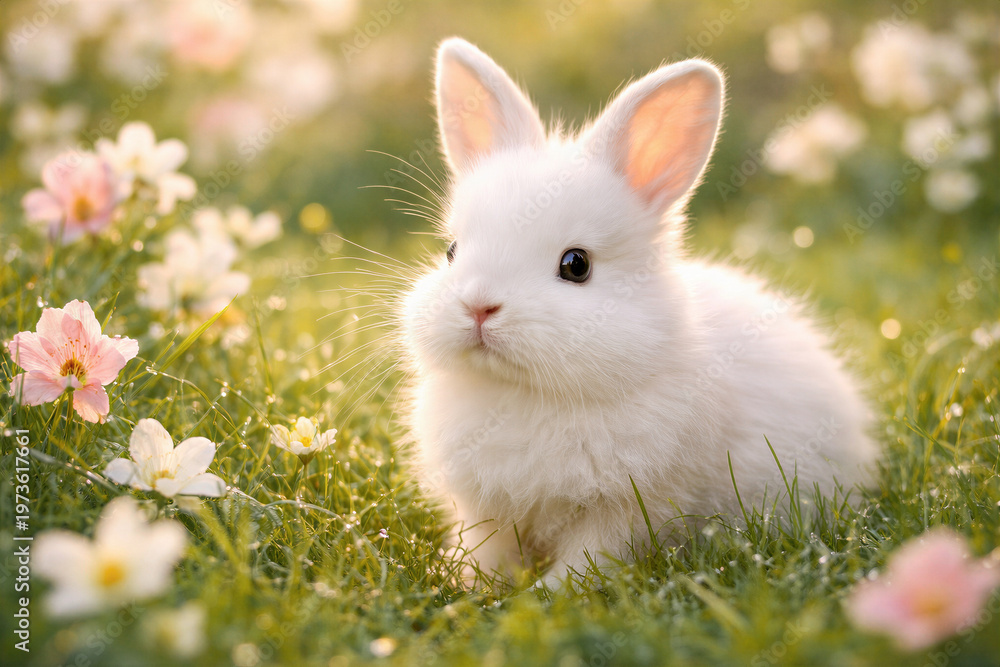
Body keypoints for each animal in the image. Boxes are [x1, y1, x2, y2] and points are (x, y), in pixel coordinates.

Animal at [400, 37, 877, 584]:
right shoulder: (485, 510)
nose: (479, 307)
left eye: (577, 265)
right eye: (451, 251)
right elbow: (488, 549)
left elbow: (589, 558)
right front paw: (470, 582)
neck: (527, 394)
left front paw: (549, 592)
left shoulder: (627, 508)